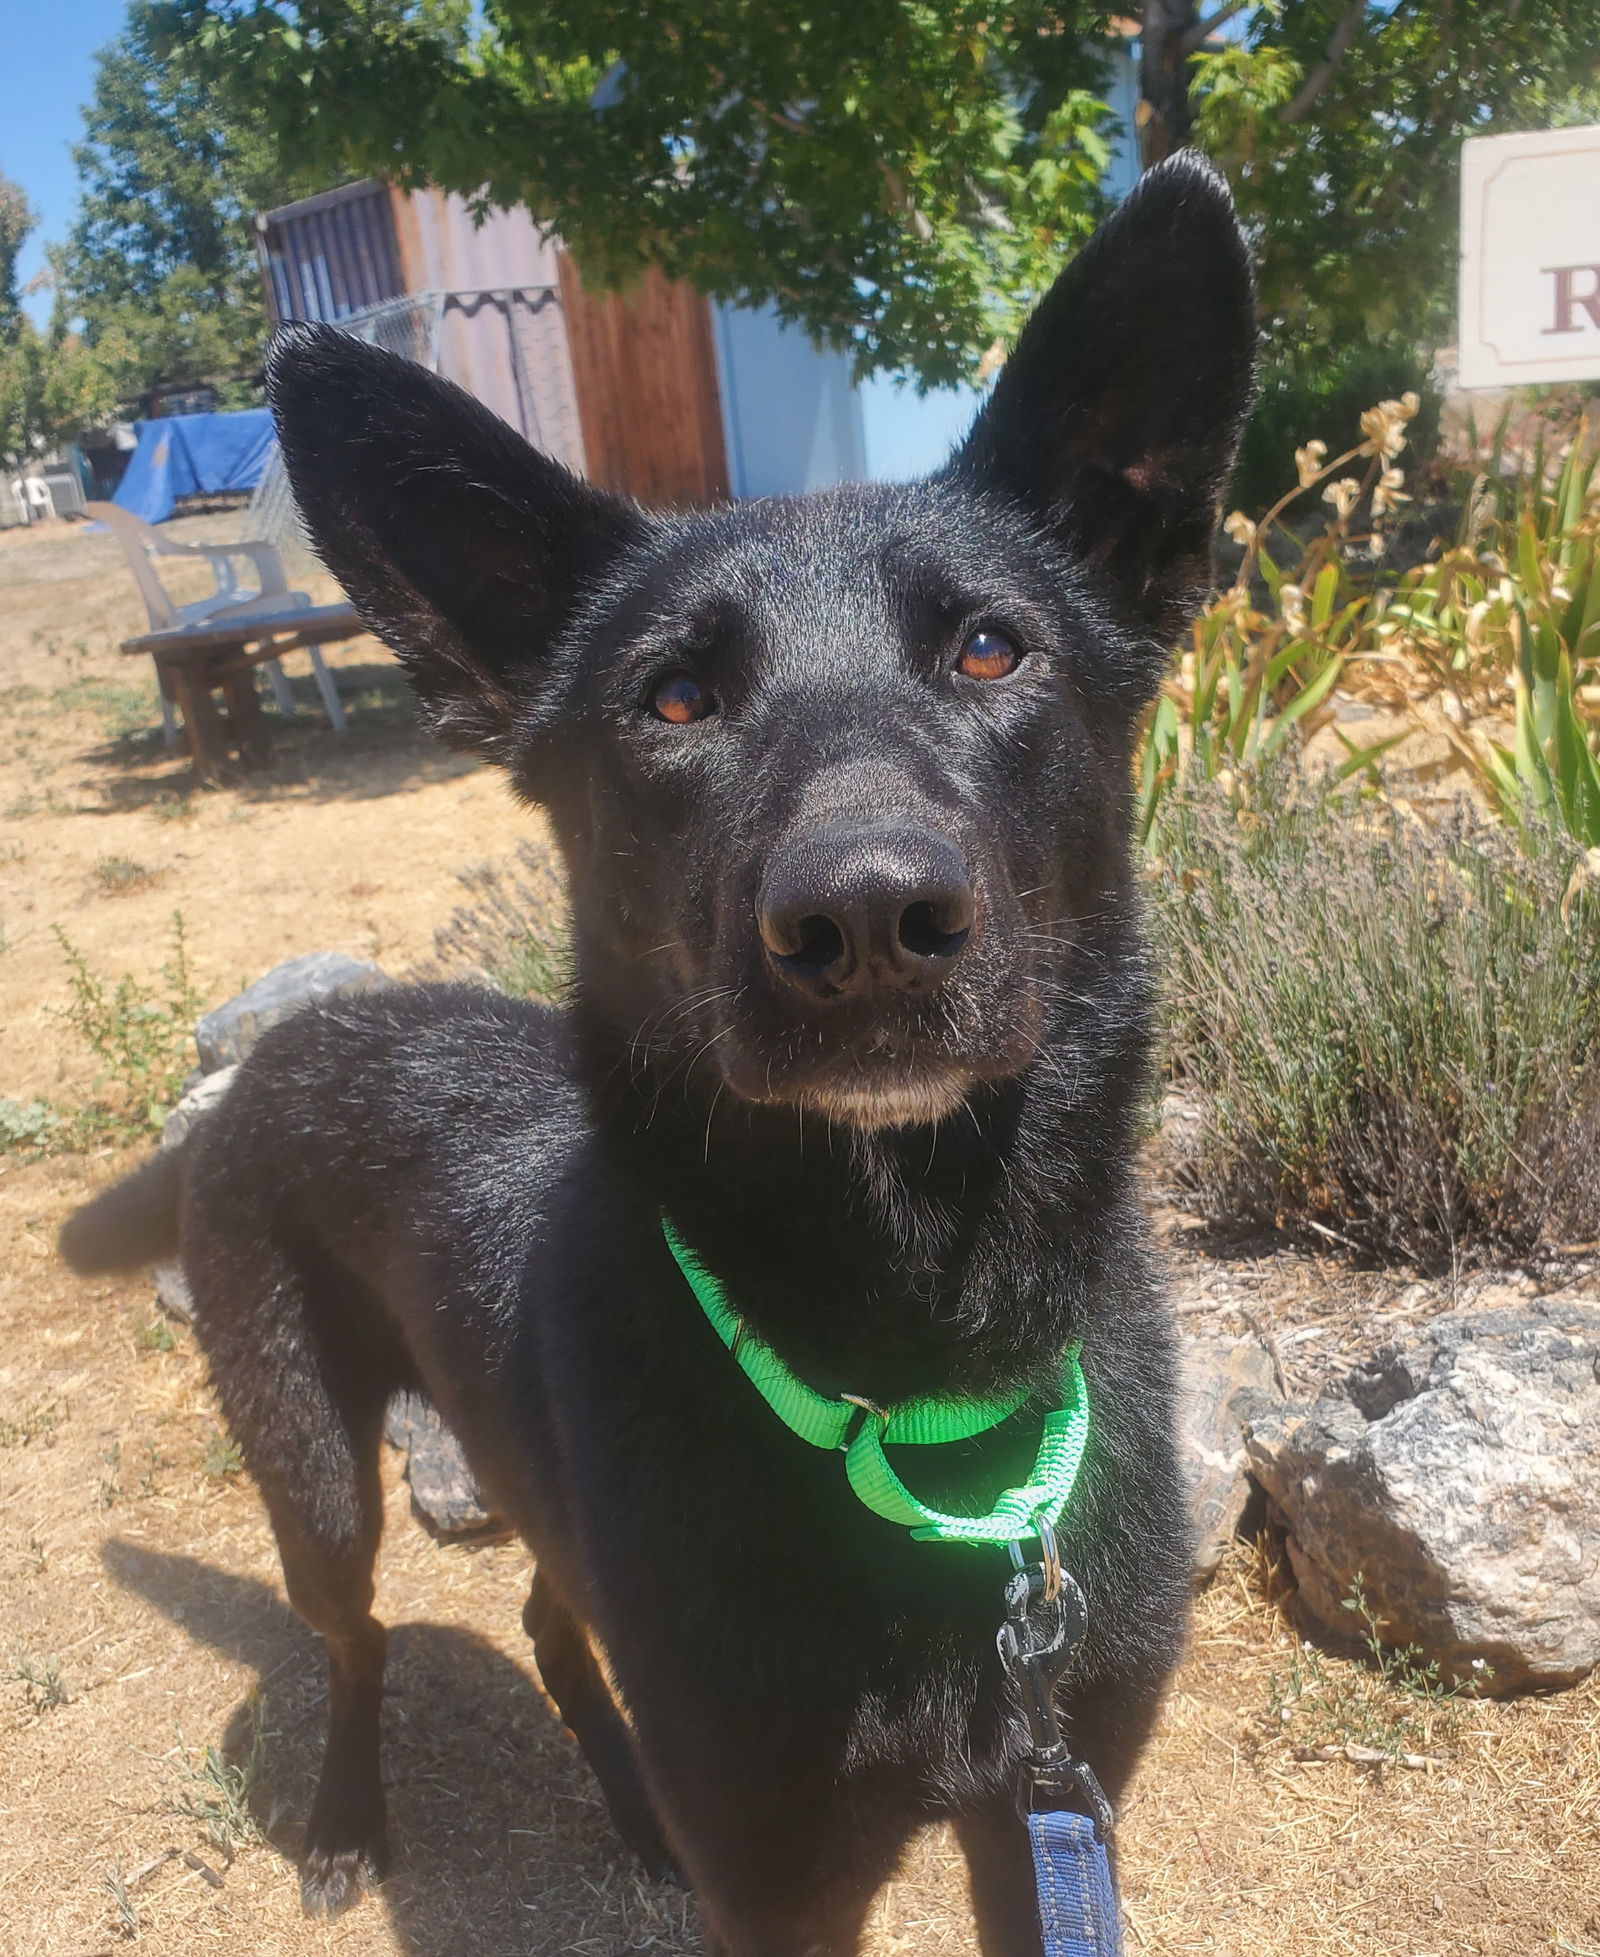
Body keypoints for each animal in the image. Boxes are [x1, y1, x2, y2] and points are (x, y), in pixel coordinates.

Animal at [62, 156, 1251, 1957]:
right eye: (675, 698)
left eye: (989, 648)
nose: (867, 917)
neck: (906, 1364)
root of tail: (290, 1043)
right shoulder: (784, 1869)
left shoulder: (1049, 1800)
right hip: (316, 1474)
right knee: (356, 1636)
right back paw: (345, 1818)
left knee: (553, 1627)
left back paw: (625, 1815)